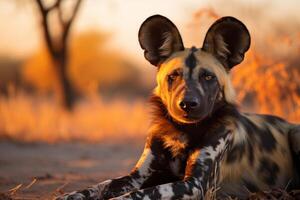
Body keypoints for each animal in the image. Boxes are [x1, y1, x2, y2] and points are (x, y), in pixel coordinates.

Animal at [56, 14, 300, 199]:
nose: (188, 104)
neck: (182, 132)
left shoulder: (194, 185)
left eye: (208, 77)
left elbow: (138, 195)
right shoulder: (137, 176)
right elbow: (100, 185)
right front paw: (72, 195)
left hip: (295, 134)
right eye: (173, 76)